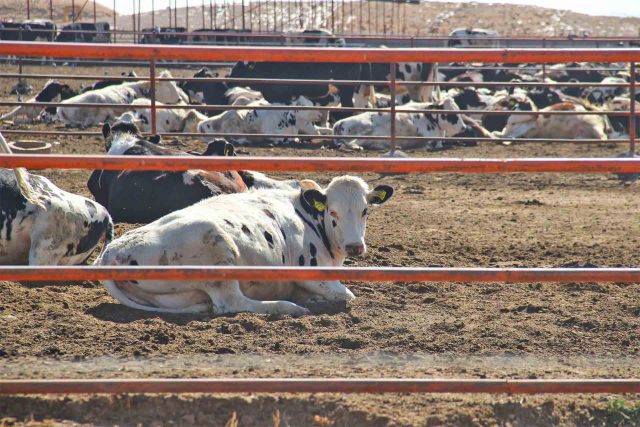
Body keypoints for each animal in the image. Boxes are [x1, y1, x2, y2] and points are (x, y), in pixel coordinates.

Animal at [95, 175, 393, 315]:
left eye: (365, 210)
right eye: (333, 212)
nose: (355, 246)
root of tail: (110, 253)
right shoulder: (312, 273)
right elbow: (347, 295)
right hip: (217, 251)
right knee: (231, 302)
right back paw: (289, 307)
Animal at [332, 97, 467, 150]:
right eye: (451, 114)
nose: (464, 127)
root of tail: (339, 122)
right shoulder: (430, 136)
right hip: (366, 131)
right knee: (349, 144)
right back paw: (356, 147)